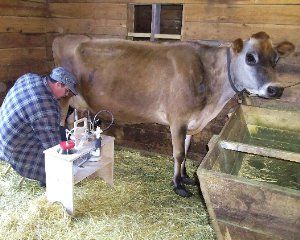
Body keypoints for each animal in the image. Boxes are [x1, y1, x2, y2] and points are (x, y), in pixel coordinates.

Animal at [52, 32, 294, 197]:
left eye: (276, 59)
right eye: (250, 58)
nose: (276, 89)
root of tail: (65, 37)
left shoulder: (192, 121)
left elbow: (186, 151)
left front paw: (186, 177)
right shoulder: (178, 119)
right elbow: (178, 153)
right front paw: (178, 185)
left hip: (79, 105)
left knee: (74, 123)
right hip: (63, 99)